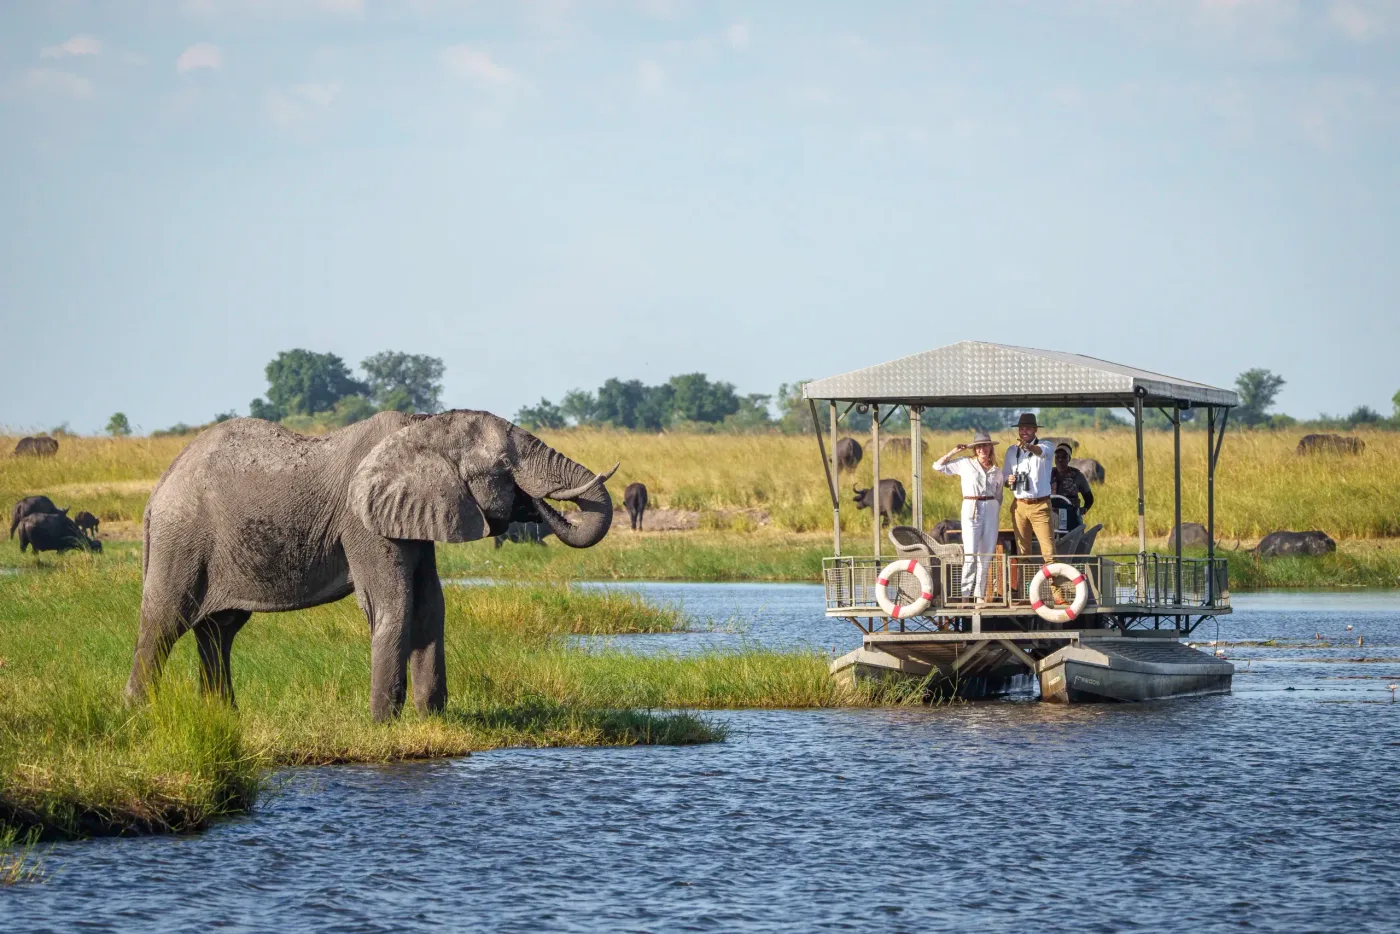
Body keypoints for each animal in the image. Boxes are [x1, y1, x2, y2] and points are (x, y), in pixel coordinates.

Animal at [124, 410, 618, 721]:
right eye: (502, 466)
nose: (536, 503)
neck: (421, 427)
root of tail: (158, 489)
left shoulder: (414, 515)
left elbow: (430, 606)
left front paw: (432, 718)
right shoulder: (361, 520)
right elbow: (392, 605)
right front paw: (383, 723)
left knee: (218, 631)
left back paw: (225, 717)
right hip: (180, 538)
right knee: (164, 623)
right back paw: (139, 715)